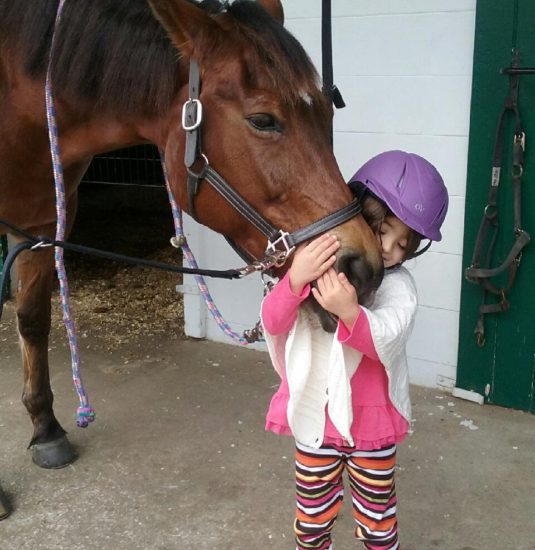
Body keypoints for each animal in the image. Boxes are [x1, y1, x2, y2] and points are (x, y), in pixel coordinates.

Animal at [0, 0, 386, 472]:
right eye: (263, 120)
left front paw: (46, 429)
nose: (362, 267)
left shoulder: (43, 223)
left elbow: (33, 318)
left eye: (328, 113)